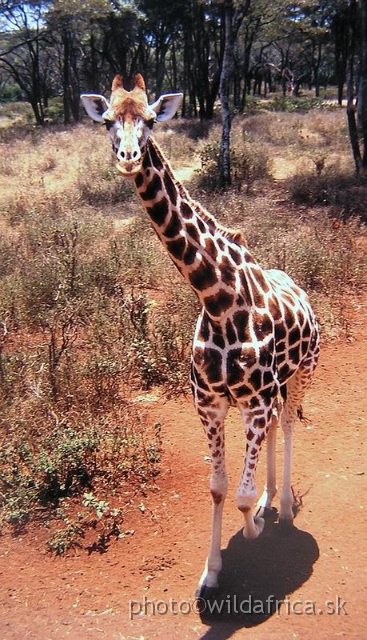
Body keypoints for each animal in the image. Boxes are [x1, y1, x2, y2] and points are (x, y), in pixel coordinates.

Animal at [80, 75, 320, 600]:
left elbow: (242, 496)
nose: (128, 156)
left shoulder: (252, 400)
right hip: (273, 390)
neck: (216, 298)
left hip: (304, 374)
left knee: (290, 425)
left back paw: (283, 507)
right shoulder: (209, 402)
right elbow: (219, 487)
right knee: (278, 426)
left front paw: (255, 527)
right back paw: (273, 497)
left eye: (150, 119)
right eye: (107, 120)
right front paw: (210, 573)